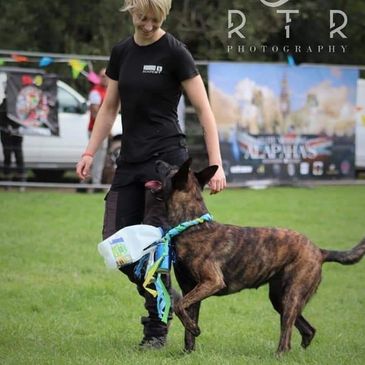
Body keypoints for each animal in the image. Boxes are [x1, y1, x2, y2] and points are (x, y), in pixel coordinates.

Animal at [145, 158, 364, 354]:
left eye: (169, 170)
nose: (156, 161)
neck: (192, 225)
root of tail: (319, 251)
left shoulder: (211, 282)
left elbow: (179, 305)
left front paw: (195, 329)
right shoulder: (191, 288)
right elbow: (187, 321)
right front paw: (188, 351)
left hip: (292, 295)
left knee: (287, 335)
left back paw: (280, 355)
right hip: (279, 298)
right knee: (308, 330)